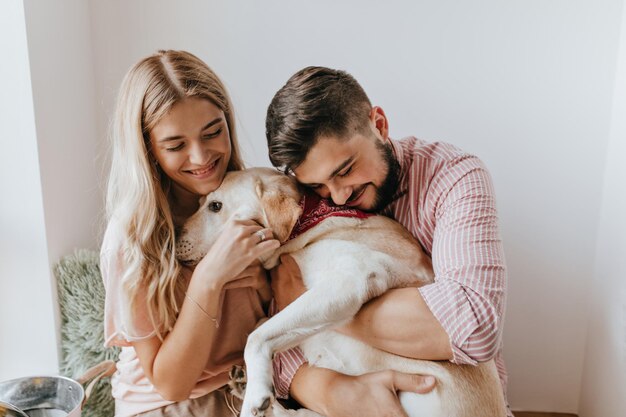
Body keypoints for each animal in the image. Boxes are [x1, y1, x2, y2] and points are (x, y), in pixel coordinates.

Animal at [177, 167, 508, 416]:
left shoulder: (350, 279)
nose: (175, 236)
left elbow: (255, 337)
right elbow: (262, 326)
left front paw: (256, 394)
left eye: (215, 206)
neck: (306, 222)